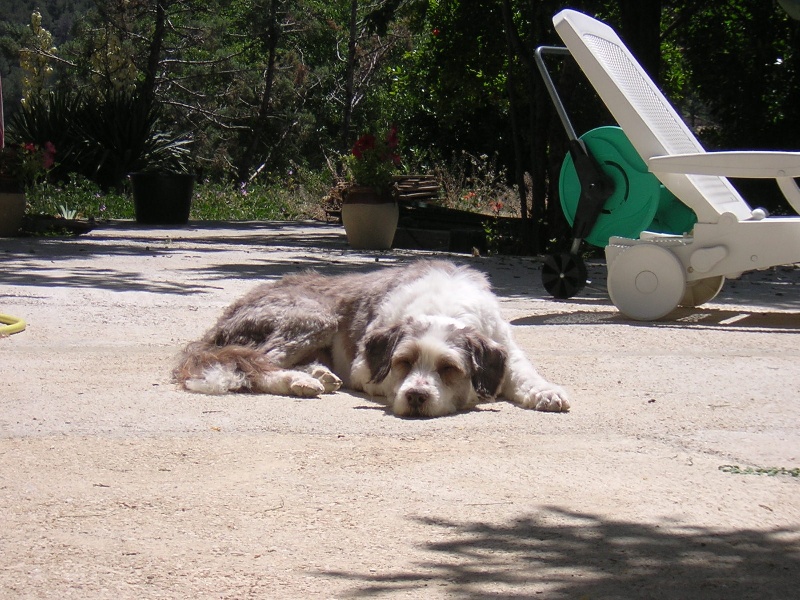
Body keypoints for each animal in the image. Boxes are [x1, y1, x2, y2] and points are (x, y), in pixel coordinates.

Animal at [174, 260, 570, 418]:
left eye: (449, 369)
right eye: (403, 363)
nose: (416, 396)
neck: (443, 305)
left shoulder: (505, 347)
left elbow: (524, 373)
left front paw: (546, 393)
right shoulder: (365, 370)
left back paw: (319, 374)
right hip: (314, 318)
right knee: (257, 363)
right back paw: (299, 381)